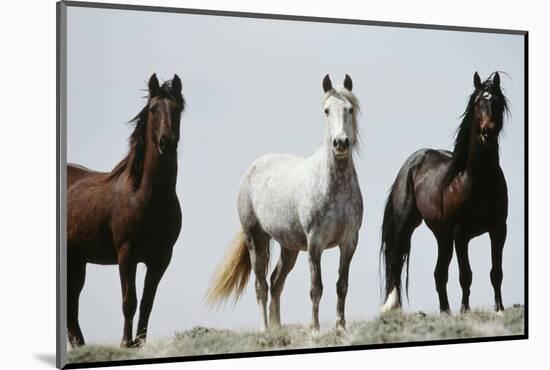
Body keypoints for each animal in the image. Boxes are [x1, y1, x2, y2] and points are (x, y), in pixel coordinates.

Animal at [66, 74, 185, 346]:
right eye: (153, 109)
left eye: (178, 109)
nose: (167, 142)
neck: (145, 197)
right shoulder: (126, 255)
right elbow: (129, 301)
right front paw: (125, 344)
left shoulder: (161, 259)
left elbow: (147, 303)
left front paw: (139, 343)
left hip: (77, 262)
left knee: (71, 307)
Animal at [209, 73, 364, 330]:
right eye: (326, 110)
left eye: (349, 109)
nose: (340, 143)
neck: (335, 186)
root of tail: (253, 168)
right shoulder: (315, 244)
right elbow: (316, 288)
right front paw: (315, 330)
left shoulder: (349, 242)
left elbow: (342, 285)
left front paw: (340, 327)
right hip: (256, 239)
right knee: (261, 285)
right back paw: (265, 330)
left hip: (289, 247)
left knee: (276, 281)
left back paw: (277, 327)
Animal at [382, 71, 512, 314]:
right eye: (478, 102)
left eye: (498, 102)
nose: (488, 132)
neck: (477, 180)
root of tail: (410, 164)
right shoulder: (461, 233)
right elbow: (466, 275)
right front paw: (465, 310)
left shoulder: (498, 229)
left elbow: (496, 272)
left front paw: (499, 308)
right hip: (407, 225)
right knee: (395, 261)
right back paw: (391, 306)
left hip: (442, 236)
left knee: (439, 273)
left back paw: (445, 312)